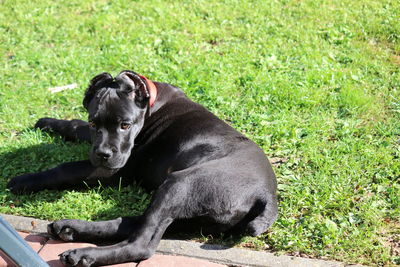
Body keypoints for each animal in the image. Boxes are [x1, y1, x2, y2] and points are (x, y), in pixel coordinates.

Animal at [7, 71, 278, 267]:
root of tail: (267, 194)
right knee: (132, 223)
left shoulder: (116, 168)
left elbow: (67, 168)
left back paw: (84, 254)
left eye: (126, 125)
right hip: (190, 217)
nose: (103, 154)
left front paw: (24, 180)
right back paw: (71, 228)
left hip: (179, 184)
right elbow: (77, 126)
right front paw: (49, 123)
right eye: (95, 123)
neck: (151, 105)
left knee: (141, 245)